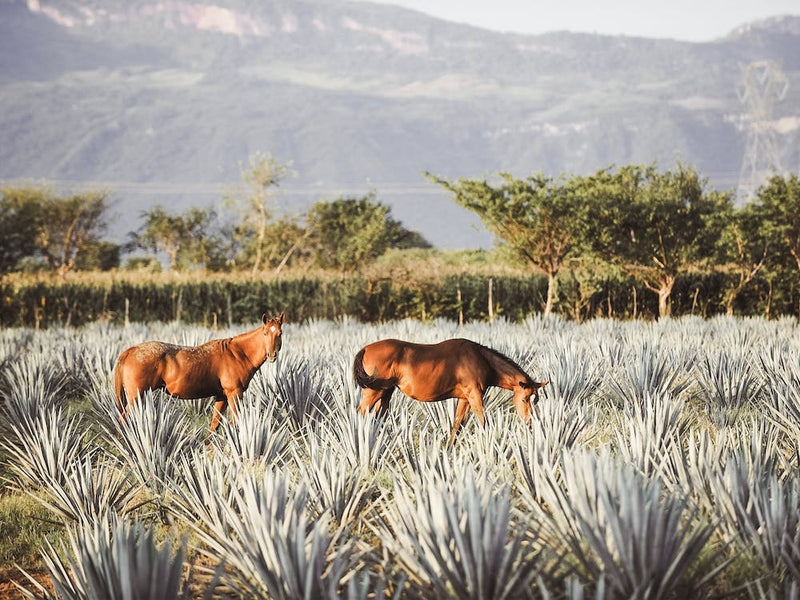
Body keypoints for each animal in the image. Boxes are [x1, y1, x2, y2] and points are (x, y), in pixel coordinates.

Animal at [114, 313, 284, 432]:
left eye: (280, 333)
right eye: (265, 333)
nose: (272, 355)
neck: (238, 353)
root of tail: (129, 351)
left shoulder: (222, 396)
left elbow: (214, 426)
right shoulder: (234, 394)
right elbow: (234, 422)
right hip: (136, 397)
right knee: (123, 420)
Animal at [353, 338, 547, 446]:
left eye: (534, 400)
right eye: (524, 399)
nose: (530, 422)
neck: (480, 359)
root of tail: (366, 348)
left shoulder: (465, 399)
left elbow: (457, 425)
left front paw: (448, 449)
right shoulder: (475, 396)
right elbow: (483, 422)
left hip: (385, 393)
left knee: (379, 417)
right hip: (373, 392)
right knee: (360, 413)